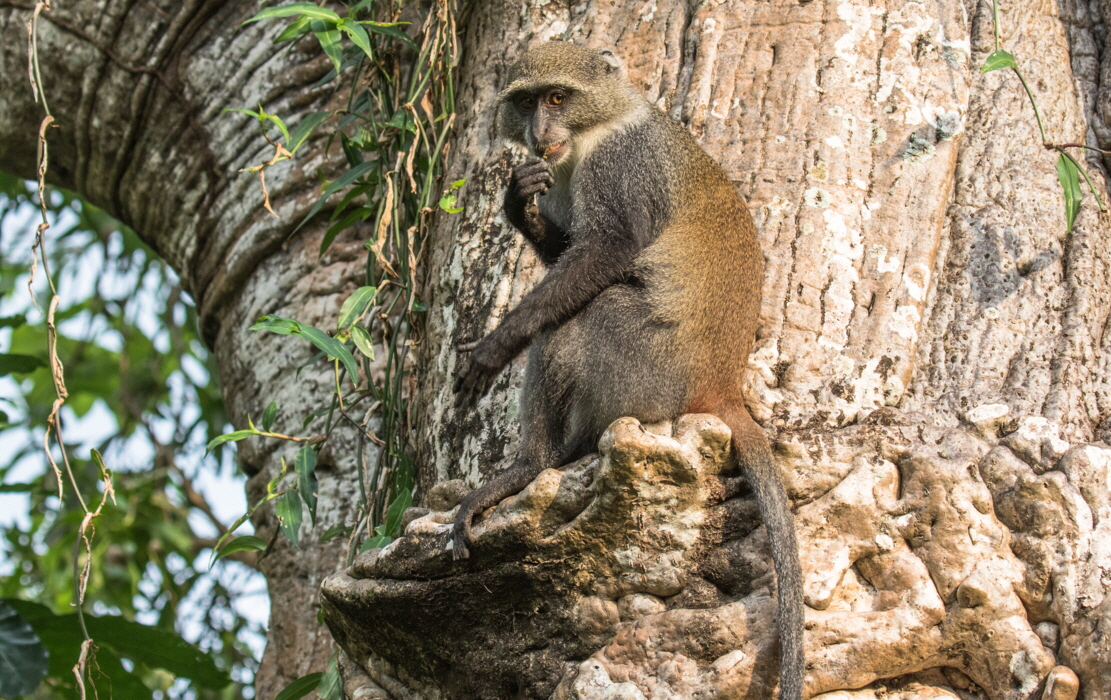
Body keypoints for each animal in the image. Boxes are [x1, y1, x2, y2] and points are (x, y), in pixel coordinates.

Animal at [451, 43, 808, 700]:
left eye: (558, 97)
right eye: (527, 101)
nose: (539, 132)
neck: (597, 126)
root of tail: (721, 384)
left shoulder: (618, 166)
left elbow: (607, 250)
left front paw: (495, 346)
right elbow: (568, 248)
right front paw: (518, 204)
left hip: (646, 369)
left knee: (577, 319)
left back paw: (530, 466)